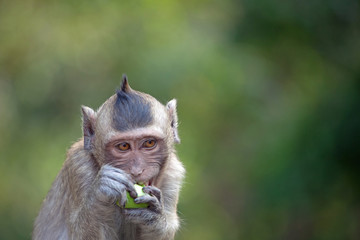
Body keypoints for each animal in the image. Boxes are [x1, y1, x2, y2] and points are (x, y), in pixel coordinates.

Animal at [32, 75, 186, 240]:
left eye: (149, 143)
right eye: (123, 146)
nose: (137, 170)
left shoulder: (173, 175)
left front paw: (155, 214)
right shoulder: (79, 167)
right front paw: (101, 192)